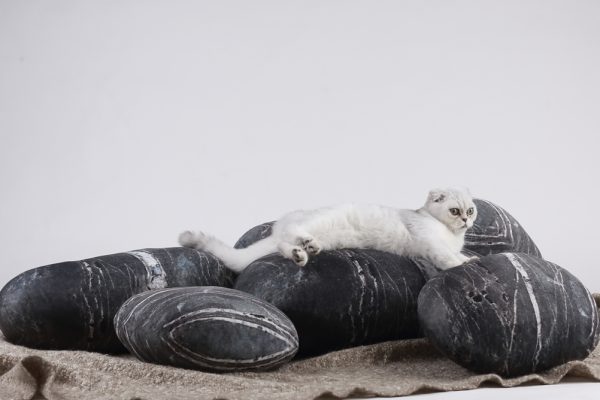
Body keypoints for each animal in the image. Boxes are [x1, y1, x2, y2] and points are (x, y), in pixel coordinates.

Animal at [178, 188, 478, 272]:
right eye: (455, 211)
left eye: (471, 210)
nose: (466, 220)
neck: (453, 236)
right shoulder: (430, 243)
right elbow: (448, 258)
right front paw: (460, 264)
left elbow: (461, 255)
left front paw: (470, 258)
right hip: (316, 221)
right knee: (290, 235)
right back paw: (305, 244)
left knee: (284, 246)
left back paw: (303, 253)